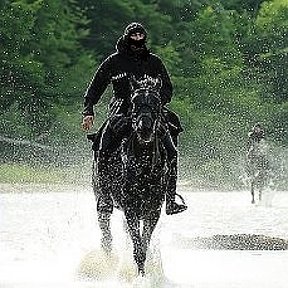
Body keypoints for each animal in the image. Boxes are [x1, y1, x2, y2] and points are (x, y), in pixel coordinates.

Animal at [91, 76, 169, 274]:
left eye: (157, 102)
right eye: (134, 101)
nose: (144, 128)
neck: (143, 166)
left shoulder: (153, 210)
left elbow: (143, 244)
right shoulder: (130, 208)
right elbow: (137, 246)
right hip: (102, 200)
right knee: (105, 229)